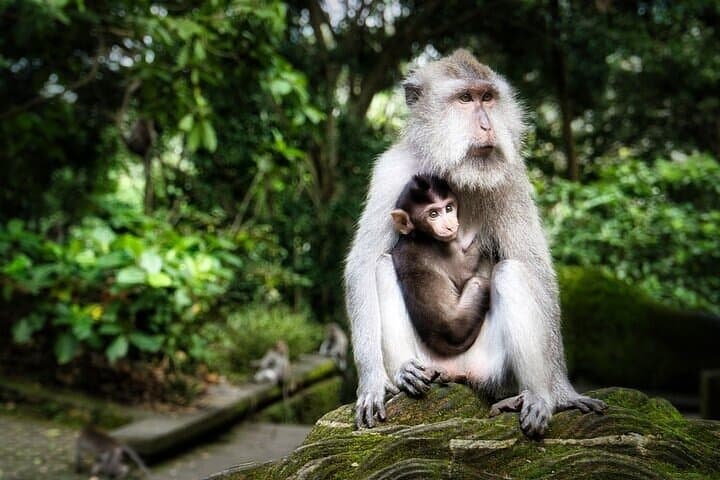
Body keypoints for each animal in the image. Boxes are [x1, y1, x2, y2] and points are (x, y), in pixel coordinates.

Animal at [390, 174, 490, 358]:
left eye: (449, 208)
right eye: (433, 214)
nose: (450, 226)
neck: (419, 235)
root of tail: (435, 337)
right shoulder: (446, 248)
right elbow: (463, 273)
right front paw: (487, 237)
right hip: (461, 323)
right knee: (479, 283)